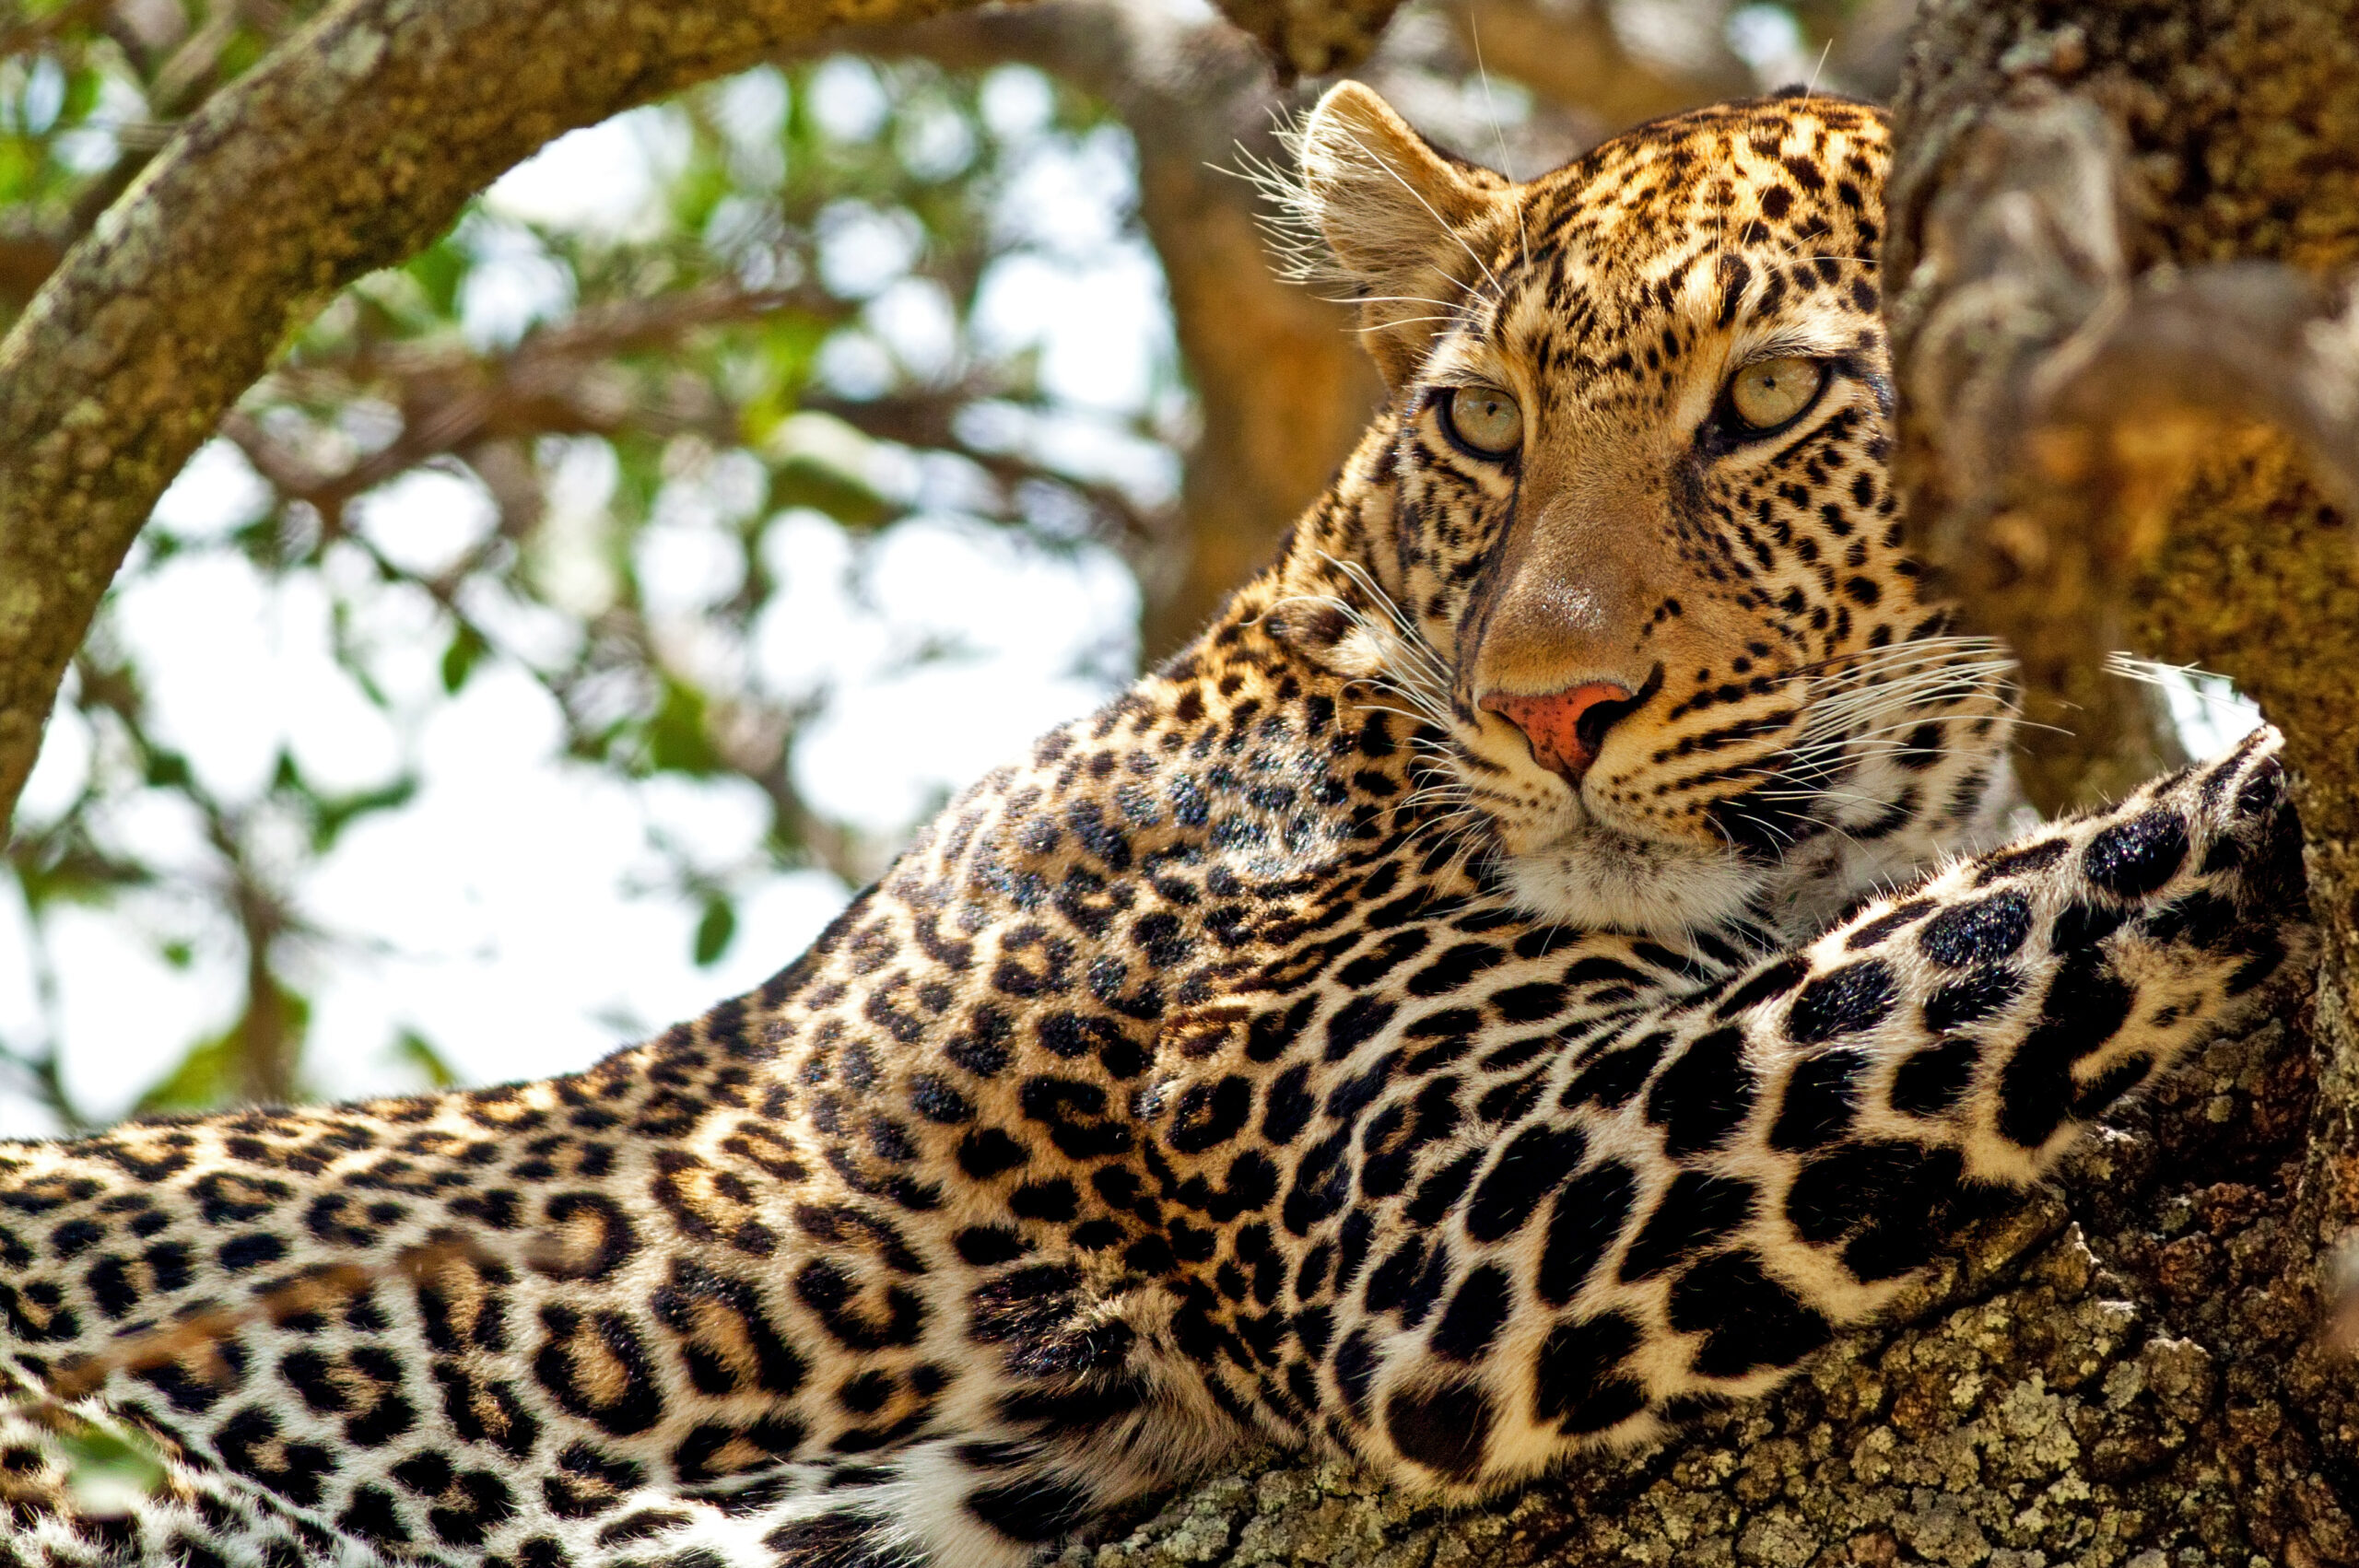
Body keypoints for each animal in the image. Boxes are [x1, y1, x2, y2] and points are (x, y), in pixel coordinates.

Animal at [0, 83, 2311, 1568]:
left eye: (1763, 403)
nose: (1543, 708)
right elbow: (1976, 935)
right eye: (1484, 422)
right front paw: (2258, 790)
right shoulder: (1447, 1212)